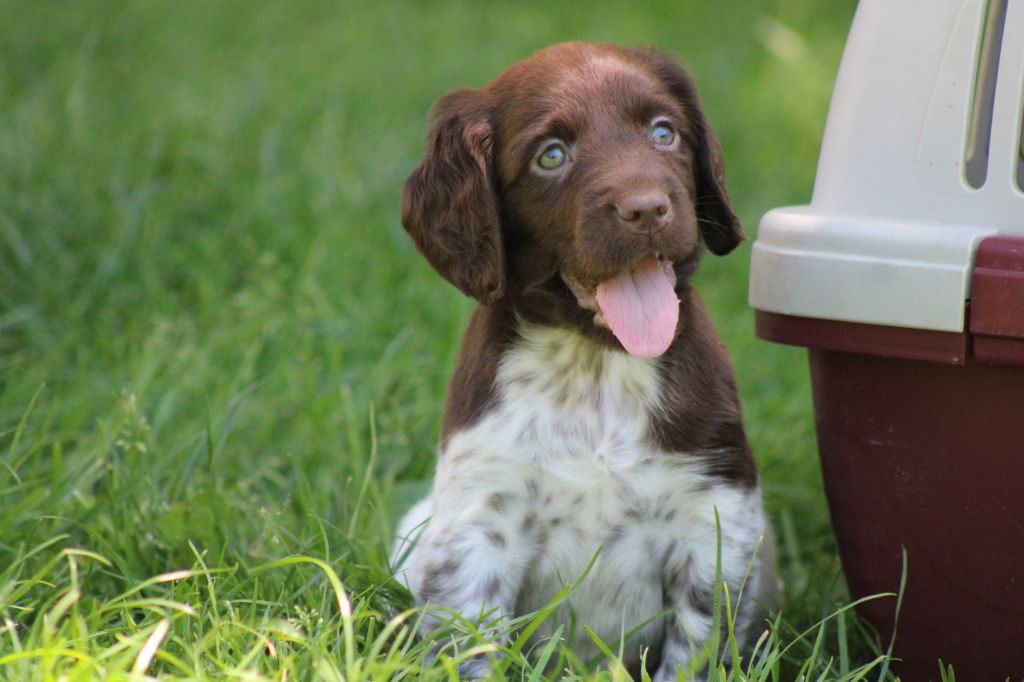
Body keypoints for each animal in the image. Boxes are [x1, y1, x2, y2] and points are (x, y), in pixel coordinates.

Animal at [391, 43, 774, 679]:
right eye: (551, 156)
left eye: (664, 133)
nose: (647, 210)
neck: (596, 367)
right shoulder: (477, 522)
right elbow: (469, 644)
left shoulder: (715, 522)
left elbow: (696, 649)